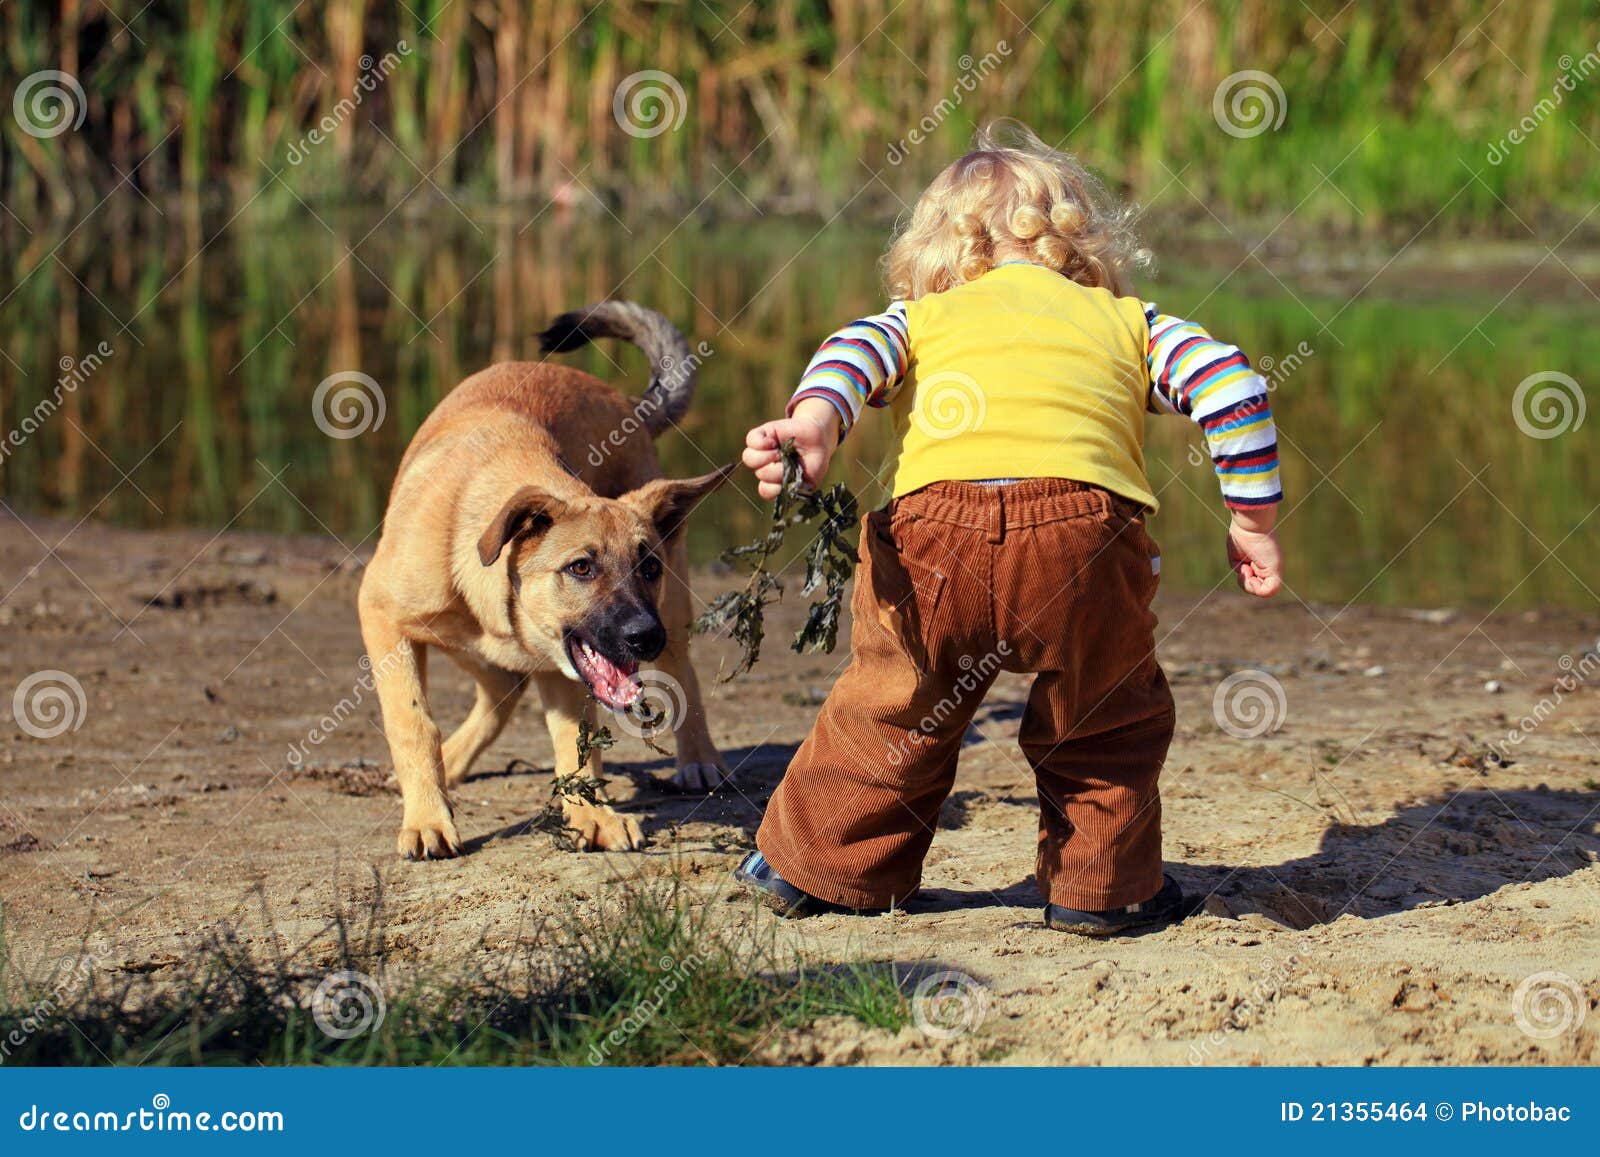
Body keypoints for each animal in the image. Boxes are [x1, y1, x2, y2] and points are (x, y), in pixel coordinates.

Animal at [358, 300, 732, 857]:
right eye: (581, 567)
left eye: (648, 567)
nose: (644, 637)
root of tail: (623, 399)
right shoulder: (382, 616)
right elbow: (413, 722)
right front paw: (427, 817)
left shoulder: (565, 669)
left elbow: (577, 743)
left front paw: (591, 815)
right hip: (460, 644)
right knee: (500, 694)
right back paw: (451, 765)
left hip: (670, 610)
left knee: (680, 669)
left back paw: (699, 758)